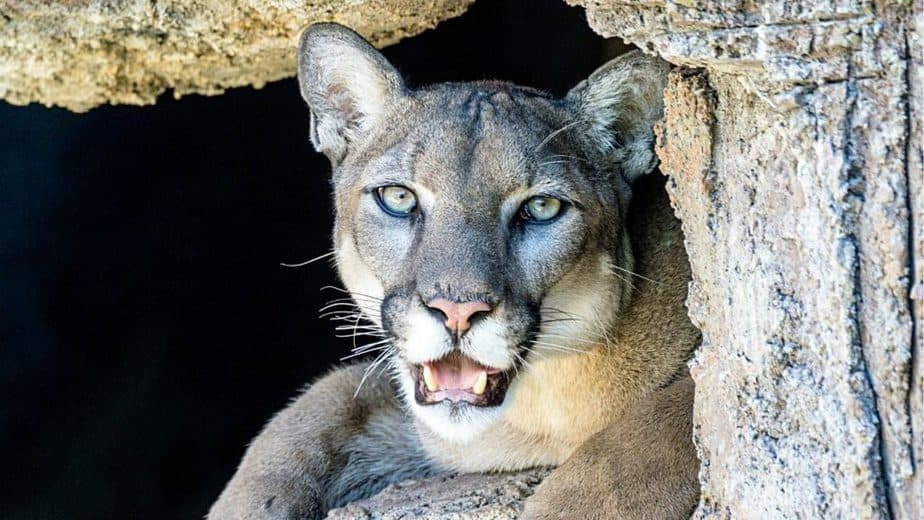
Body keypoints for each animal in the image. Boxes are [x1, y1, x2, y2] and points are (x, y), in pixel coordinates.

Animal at [211, 23, 700, 520]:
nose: (457, 312)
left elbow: (648, 437)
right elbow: (317, 404)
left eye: (542, 207)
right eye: (398, 198)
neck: (544, 403)